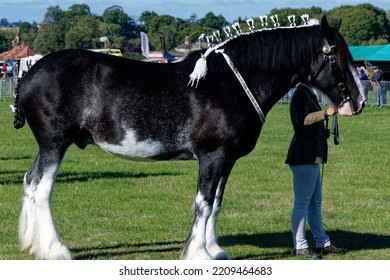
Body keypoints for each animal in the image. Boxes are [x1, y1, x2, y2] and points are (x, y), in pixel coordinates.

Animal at [12, 16, 366, 260]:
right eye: (336, 56)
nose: (359, 101)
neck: (231, 83)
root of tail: (29, 72)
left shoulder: (227, 160)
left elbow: (216, 204)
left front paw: (214, 250)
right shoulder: (211, 156)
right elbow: (203, 203)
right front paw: (198, 254)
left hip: (47, 147)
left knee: (30, 182)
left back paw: (31, 244)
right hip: (55, 145)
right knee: (42, 189)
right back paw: (55, 250)